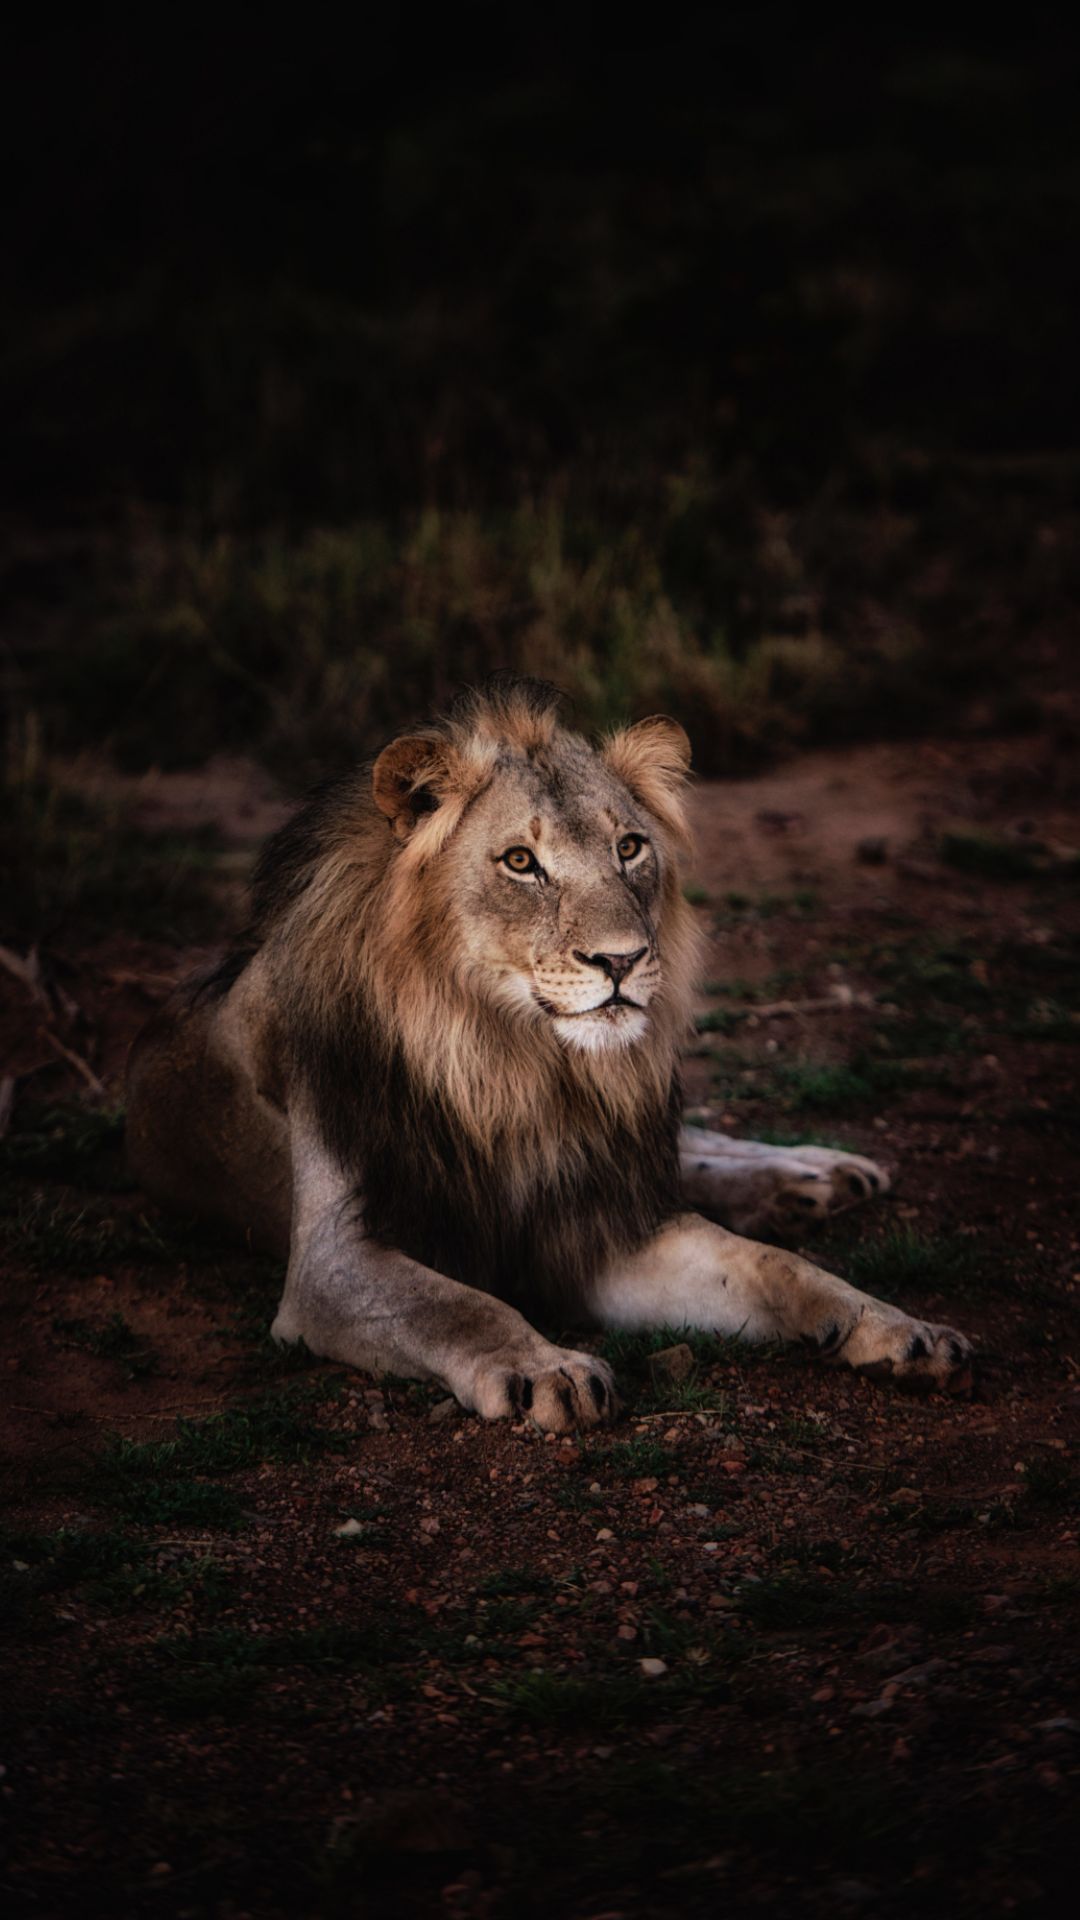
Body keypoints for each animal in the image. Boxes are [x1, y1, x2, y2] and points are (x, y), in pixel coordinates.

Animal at [123, 675, 968, 1428]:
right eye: (521, 862)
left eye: (629, 847)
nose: (622, 960)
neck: (516, 1068)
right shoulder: (334, 1264)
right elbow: (462, 1306)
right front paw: (549, 1369)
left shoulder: (600, 1221)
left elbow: (775, 1267)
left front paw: (896, 1326)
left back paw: (817, 1172)